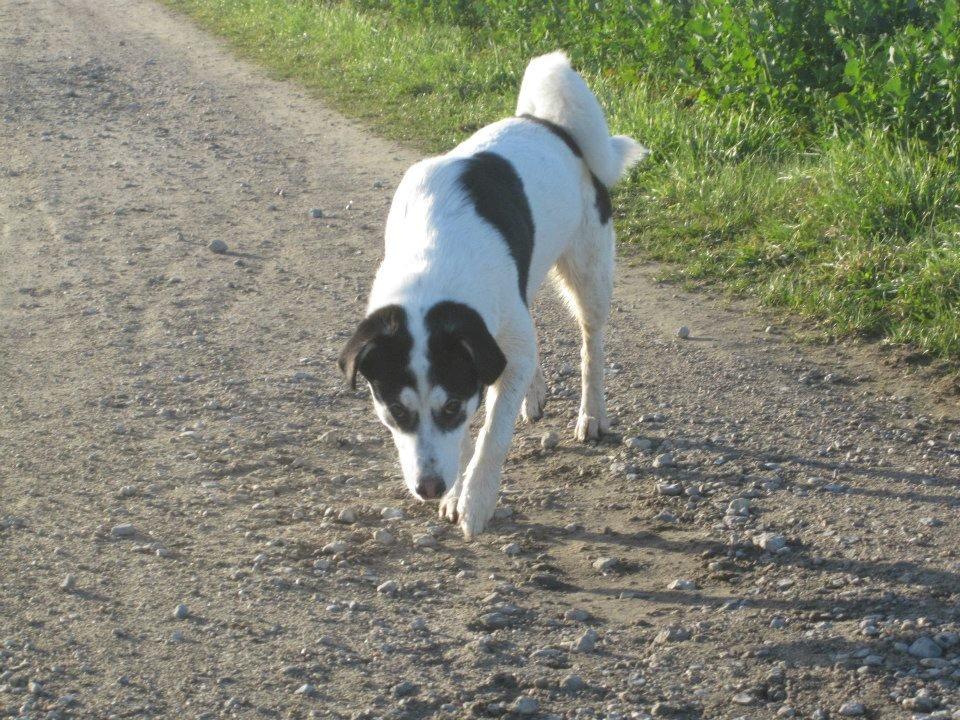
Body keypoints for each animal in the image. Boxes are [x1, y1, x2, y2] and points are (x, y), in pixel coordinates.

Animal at [338, 52, 644, 536]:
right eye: (396, 411)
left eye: (451, 408)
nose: (429, 488)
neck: (433, 262)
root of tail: (548, 124)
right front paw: (457, 492)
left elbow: (491, 435)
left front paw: (476, 500)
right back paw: (535, 394)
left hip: (590, 274)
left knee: (591, 344)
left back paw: (592, 414)